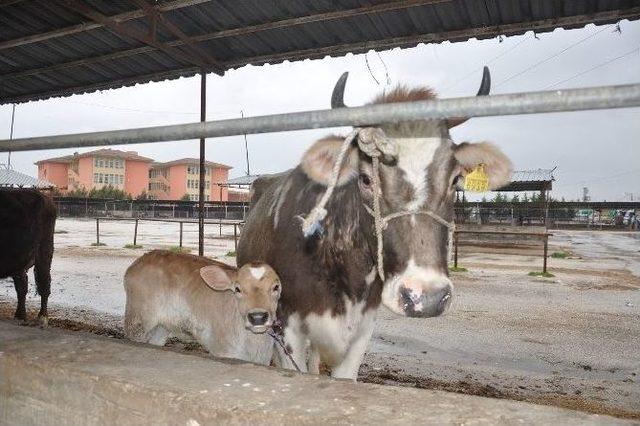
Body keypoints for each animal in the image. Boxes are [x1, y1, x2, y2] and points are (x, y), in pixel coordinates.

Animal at [0, 188, 56, 324]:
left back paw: (42, 317)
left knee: (44, 283)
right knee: (22, 286)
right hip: (18, 260)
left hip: (44, 252)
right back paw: (20, 315)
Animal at [124, 251, 282, 364]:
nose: (258, 317)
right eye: (237, 289)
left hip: (161, 327)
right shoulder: (224, 352)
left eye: (276, 287)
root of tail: (137, 262)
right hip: (137, 322)